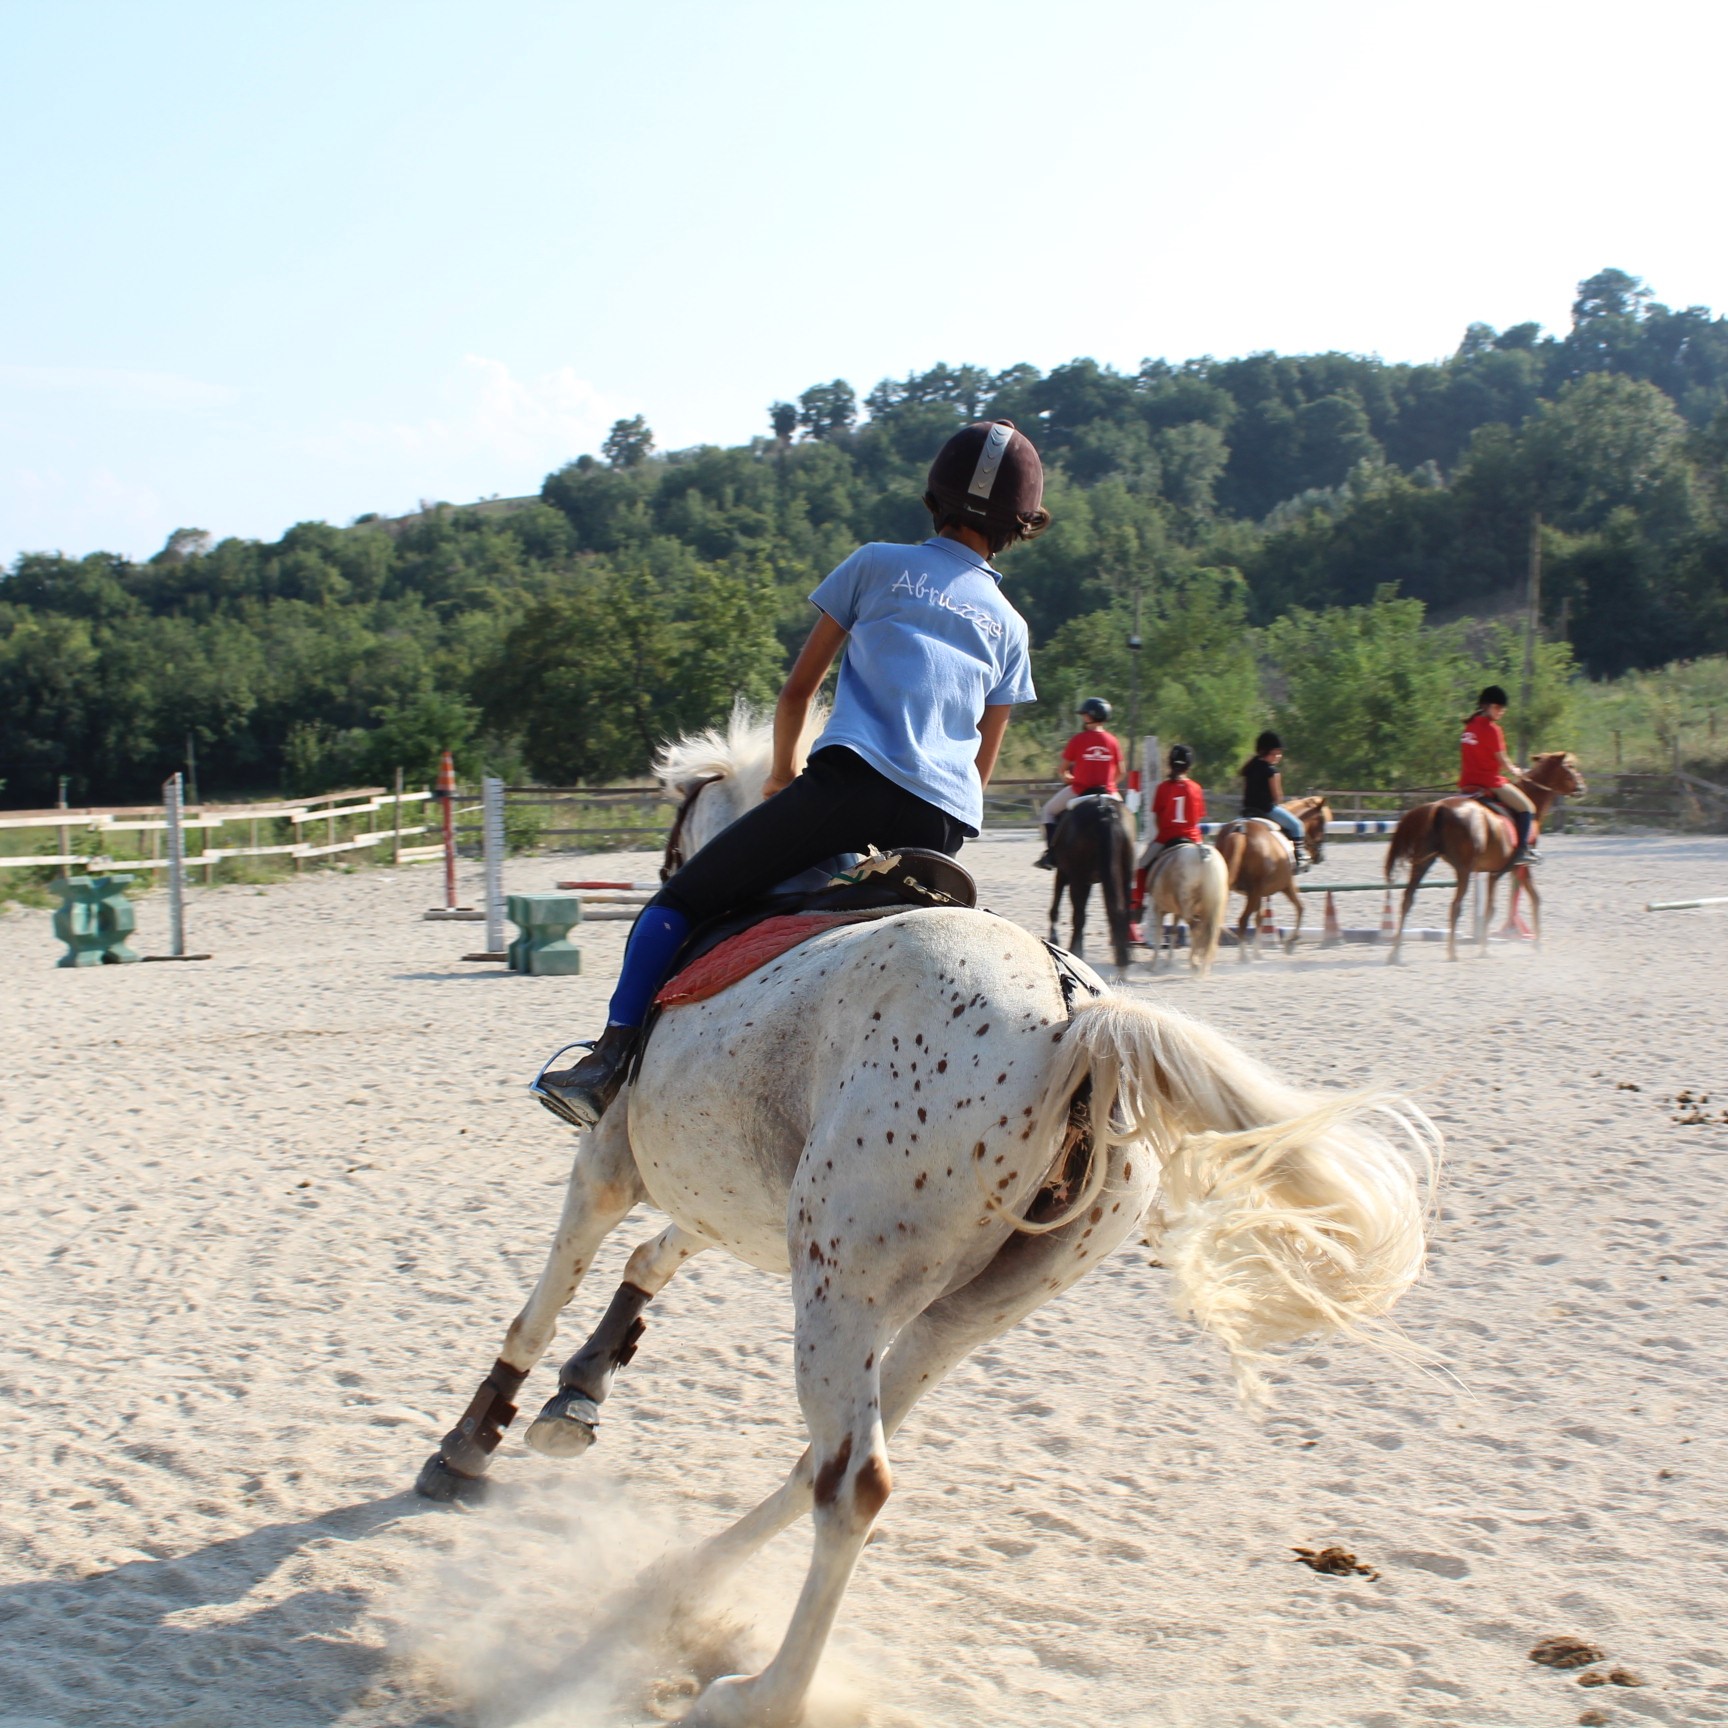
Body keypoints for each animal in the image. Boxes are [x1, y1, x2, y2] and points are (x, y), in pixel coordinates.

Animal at [1140, 843, 1237, 981]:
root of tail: (1202, 852)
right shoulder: (1178, 912)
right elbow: (1174, 932)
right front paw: (1168, 962)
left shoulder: (1158, 909)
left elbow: (1159, 935)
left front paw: (1153, 966)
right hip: (1211, 909)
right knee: (1210, 933)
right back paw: (1203, 966)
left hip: (1186, 906)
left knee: (1196, 930)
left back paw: (1195, 965)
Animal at [1209, 794, 1327, 960]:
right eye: (1322, 822)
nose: (1320, 857)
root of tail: (1240, 830)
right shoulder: (1286, 884)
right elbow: (1300, 907)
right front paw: (1291, 942)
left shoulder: (1259, 893)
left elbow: (1259, 918)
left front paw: (1257, 952)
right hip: (1255, 890)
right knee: (1242, 920)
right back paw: (1243, 957)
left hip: (1241, 889)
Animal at [1382, 753, 1582, 967]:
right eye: (1570, 766)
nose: (1582, 786)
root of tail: (1438, 807)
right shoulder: (1521, 866)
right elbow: (1535, 899)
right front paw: (1537, 944)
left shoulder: (1495, 872)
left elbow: (1490, 909)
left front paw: (1484, 948)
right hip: (1463, 869)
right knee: (1455, 906)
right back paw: (1452, 952)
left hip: (1422, 863)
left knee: (1408, 900)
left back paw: (1395, 953)